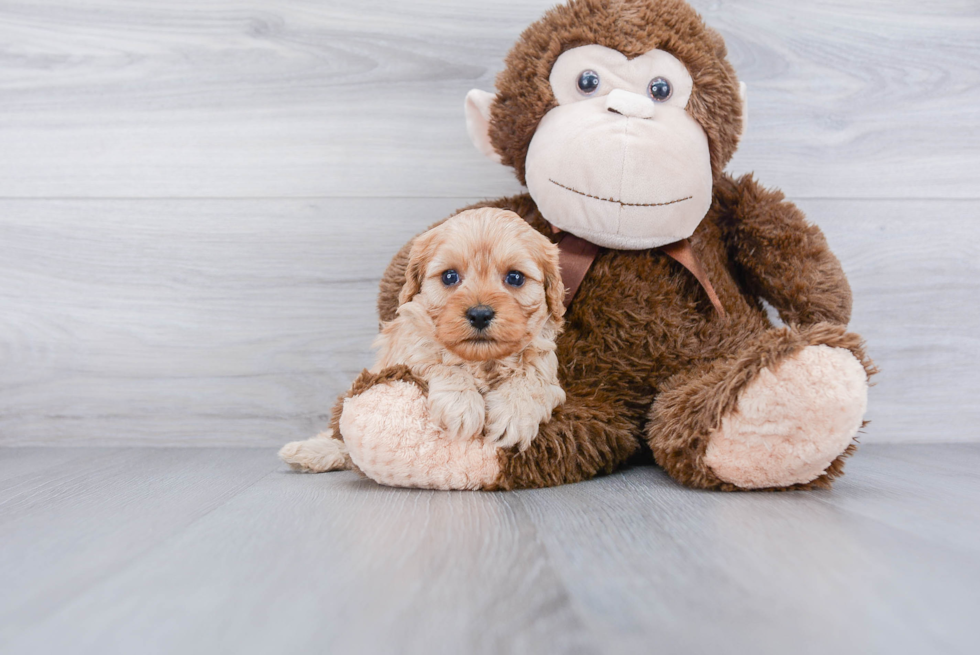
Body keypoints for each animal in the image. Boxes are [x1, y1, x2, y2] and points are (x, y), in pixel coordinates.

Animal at [280, 208, 564, 474]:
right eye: (449, 276)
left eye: (515, 277)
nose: (480, 314)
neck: (481, 361)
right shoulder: (407, 350)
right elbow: (438, 363)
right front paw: (461, 405)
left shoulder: (544, 362)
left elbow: (531, 378)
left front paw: (514, 413)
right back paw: (308, 452)